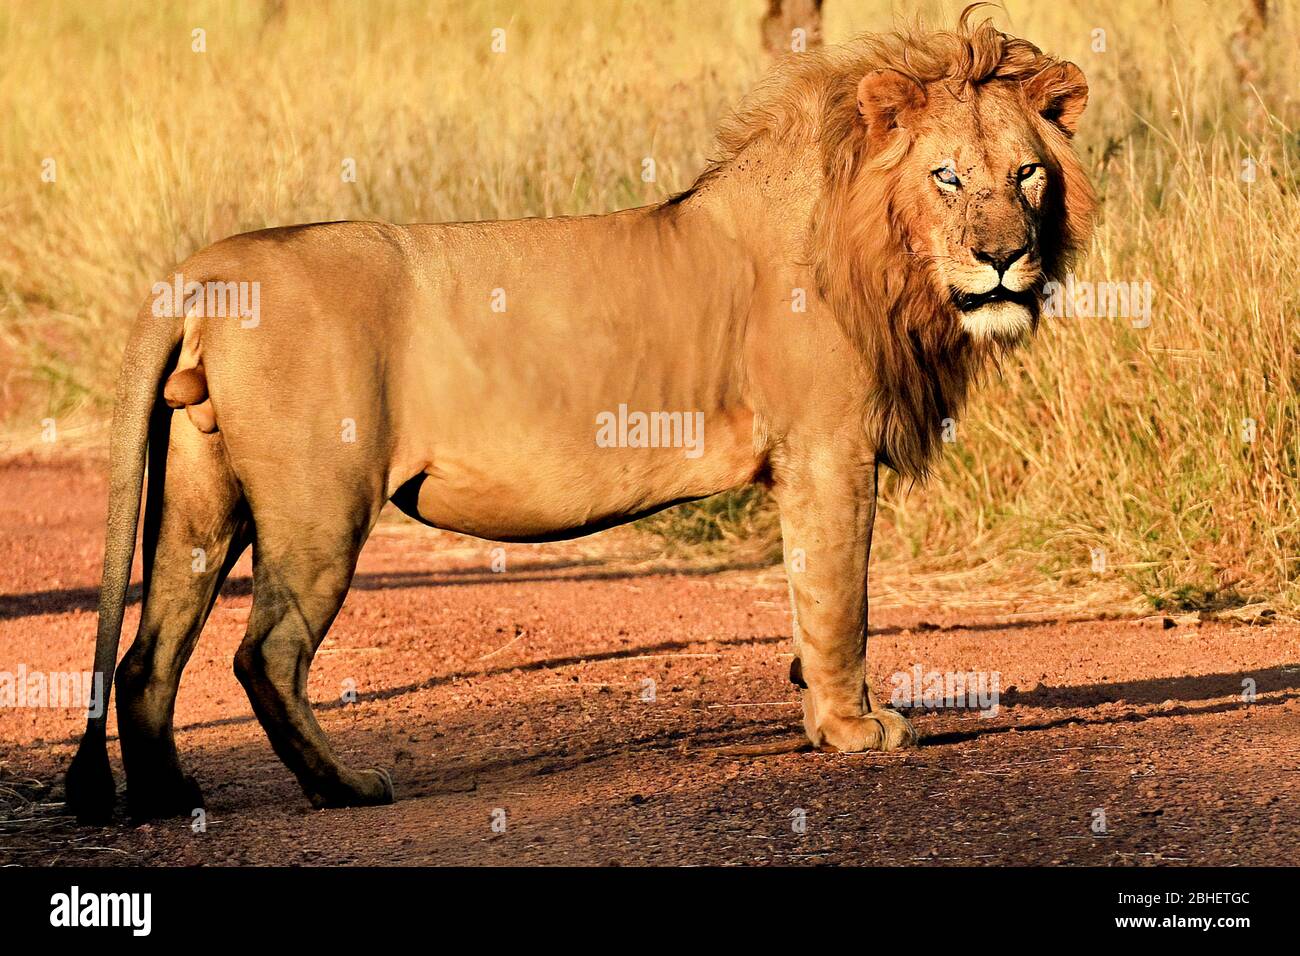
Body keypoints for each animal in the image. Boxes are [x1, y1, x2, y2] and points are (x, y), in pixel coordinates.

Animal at [66, 9, 1094, 822]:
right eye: (948, 178)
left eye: (1028, 176)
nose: (1005, 259)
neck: (878, 253)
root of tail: (203, 269)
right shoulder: (827, 449)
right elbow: (842, 599)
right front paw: (853, 729)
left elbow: (813, 602)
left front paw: (818, 714)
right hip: (320, 502)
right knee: (264, 653)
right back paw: (343, 788)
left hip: (201, 493)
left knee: (149, 656)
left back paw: (168, 799)